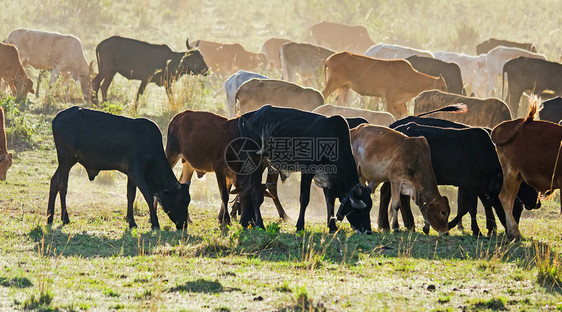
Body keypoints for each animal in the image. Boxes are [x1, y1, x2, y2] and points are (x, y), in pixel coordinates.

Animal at [47, 106, 189, 230]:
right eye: (182, 202)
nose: (184, 225)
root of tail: (57, 117)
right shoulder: (137, 174)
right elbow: (148, 196)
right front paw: (155, 223)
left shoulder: (131, 175)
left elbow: (131, 196)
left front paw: (131, 221)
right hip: (66, 159)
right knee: (61, 185)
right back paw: (59, 218)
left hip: (67, 162)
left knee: (56, 183)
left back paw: (54, 217)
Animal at [234, 106, 374, 233]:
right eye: (361, 210)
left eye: (369, 209)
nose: (368, 231)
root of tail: (249, 115)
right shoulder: (307, 171)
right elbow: (304, 199)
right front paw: (300, 226)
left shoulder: (328, 178)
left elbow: (330, 202)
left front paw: (332, 227)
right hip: (256, 160)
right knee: (255, 192)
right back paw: (260, 224)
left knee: (246, 189)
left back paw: (245, 222)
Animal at [382, 118, 536, 235]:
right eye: (516, 208)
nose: (513, 232)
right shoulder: (470, 186)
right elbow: (470, 208)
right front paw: (477, 230)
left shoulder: (476, 187)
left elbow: (468, 207)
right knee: (390, 194)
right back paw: (392, 225)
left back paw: (406, 225)